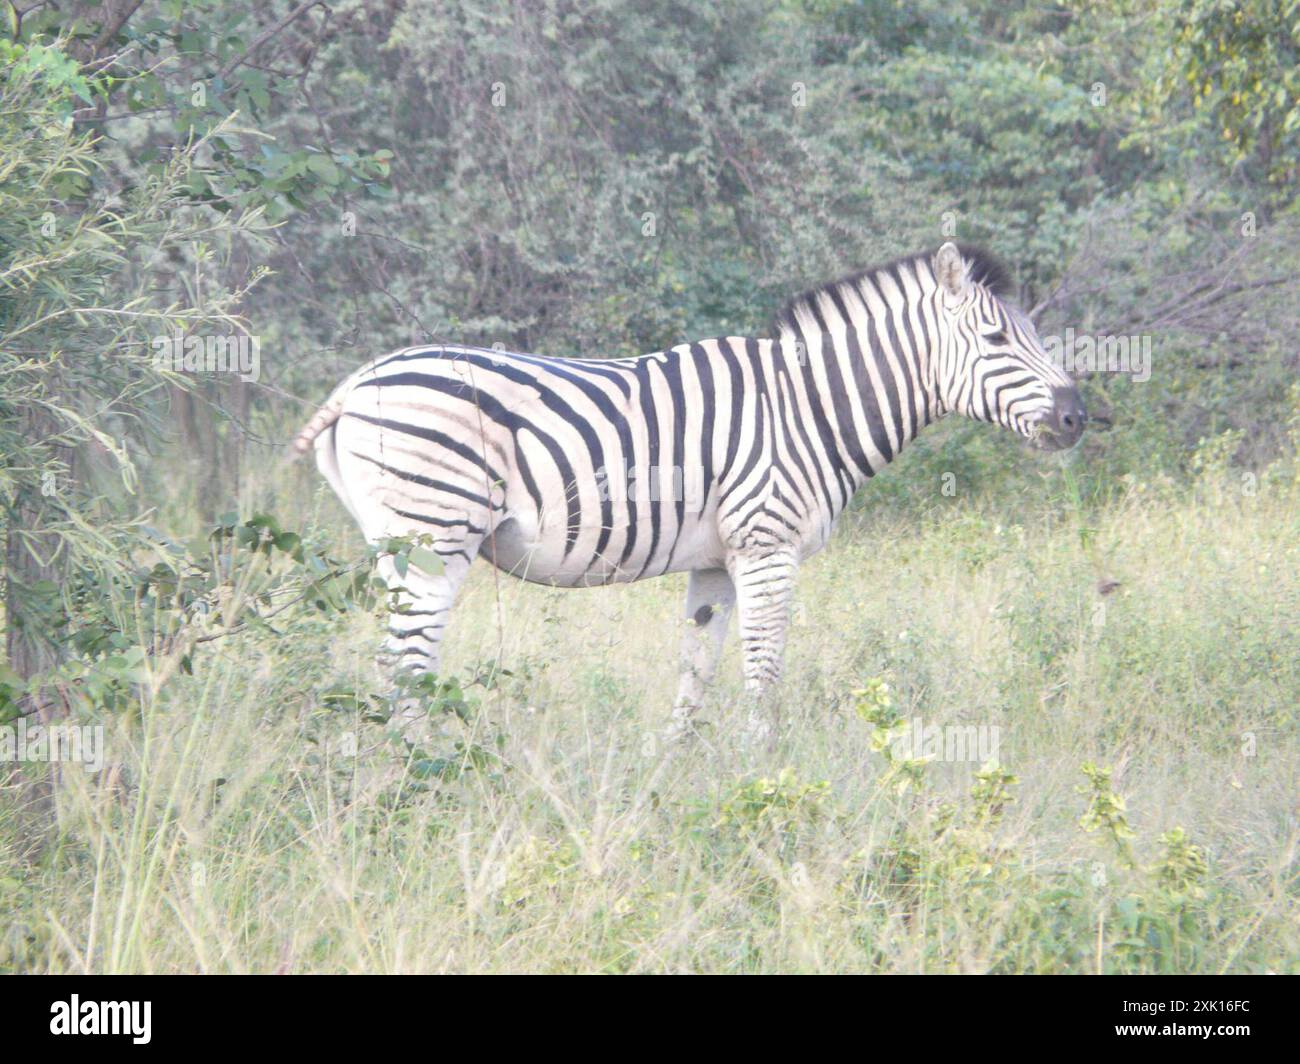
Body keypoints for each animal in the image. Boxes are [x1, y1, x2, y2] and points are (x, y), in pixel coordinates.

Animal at [295, 244, 1086, 733]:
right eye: (996, 342)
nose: (1081, 416)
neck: (806, 407)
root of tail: (354, 386)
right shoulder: (768, 546)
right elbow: (763, 670)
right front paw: (767, 781)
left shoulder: (715, 560)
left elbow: (697, 668)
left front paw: (676, 773)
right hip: (433, 536)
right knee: (406, 664)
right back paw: (417, 779)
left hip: (397, 543)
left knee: (395, 661)